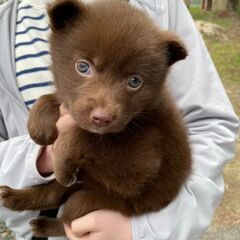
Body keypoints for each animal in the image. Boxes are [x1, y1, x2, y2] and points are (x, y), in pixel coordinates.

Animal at [0, 0, 191, 236]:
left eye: (135, 81)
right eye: (83, 66)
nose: (102, 118)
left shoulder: (142, 165)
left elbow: (85, 136)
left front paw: (62, 160)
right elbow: (55, 98)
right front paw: (39, 125)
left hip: (94, 200)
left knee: (69, 221)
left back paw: (46, 224)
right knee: (53, 194)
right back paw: (14, 197)